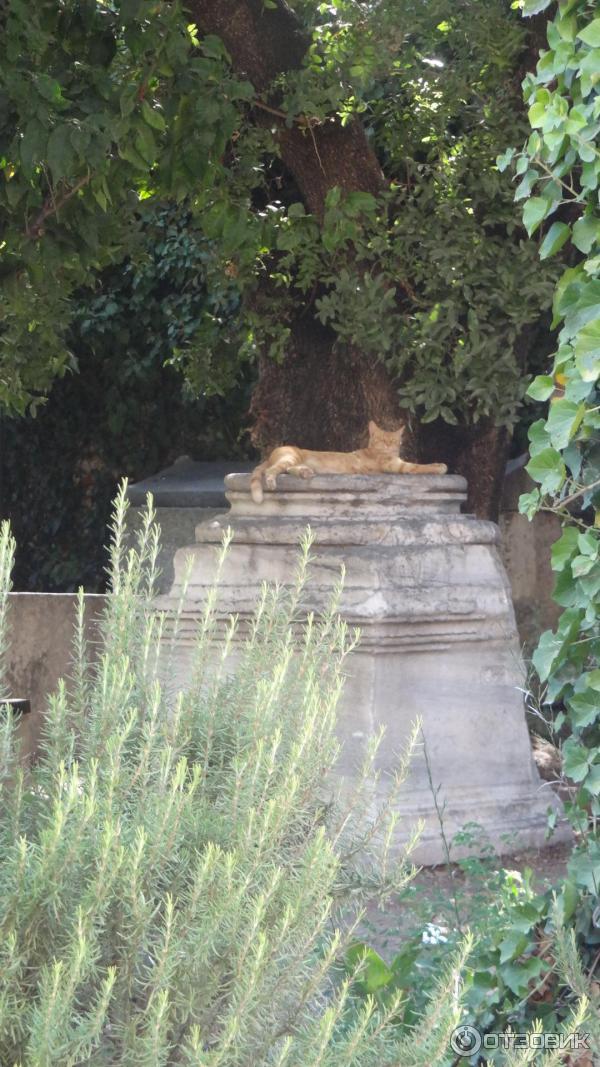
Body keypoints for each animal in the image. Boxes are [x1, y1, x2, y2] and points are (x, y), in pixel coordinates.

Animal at [247, 420, 444, 503]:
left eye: (394, 441)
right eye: (382, 440)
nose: (389, 445)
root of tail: (271, 454)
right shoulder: (395, 465)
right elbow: (418, 467)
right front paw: (439, 466)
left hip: (293, 460)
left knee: (288, 469)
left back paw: (305, 472)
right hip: (290, 456)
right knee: (271, 470)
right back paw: (272, 481)